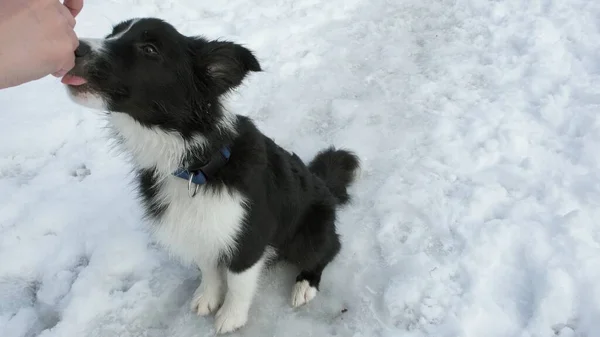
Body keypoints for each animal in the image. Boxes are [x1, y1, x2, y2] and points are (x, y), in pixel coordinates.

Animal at [63, 17, 358, 332]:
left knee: (329, 248)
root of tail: (323, 184)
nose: (75, 48)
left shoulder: (249, 233)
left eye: (150, 48)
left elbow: (239, 280)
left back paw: (305, 284)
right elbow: (208, 267)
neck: (194, 166)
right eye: (113, 33)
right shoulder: (201, 229)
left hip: (310, 231)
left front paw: (231, 317)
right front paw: (208, 297)